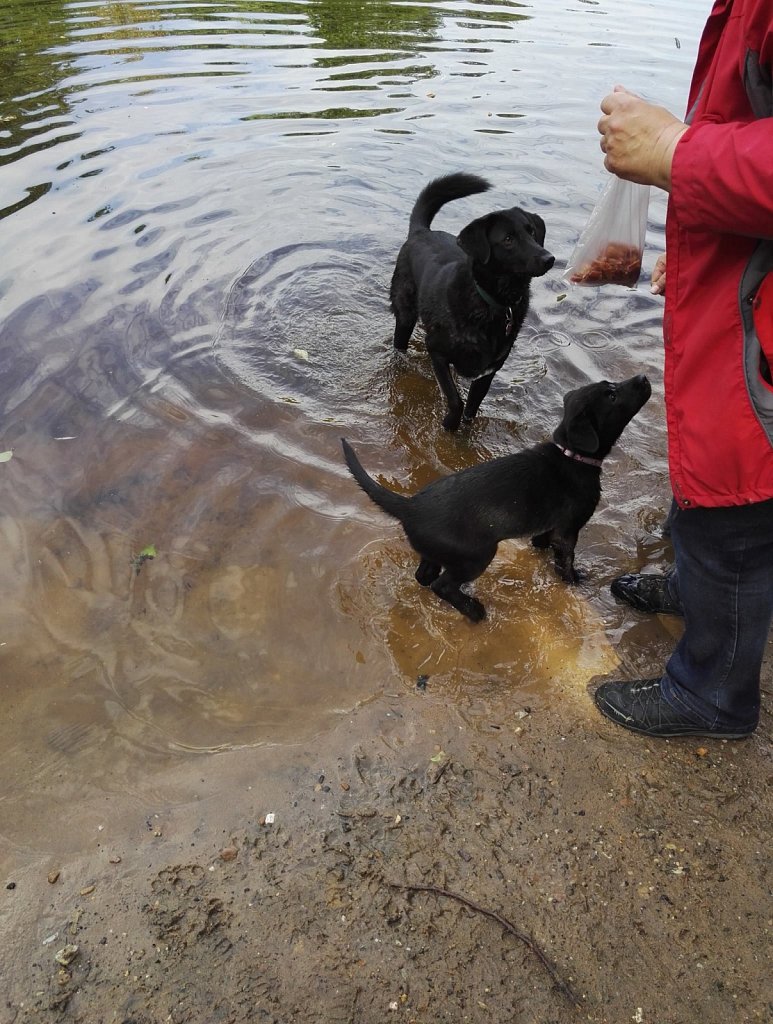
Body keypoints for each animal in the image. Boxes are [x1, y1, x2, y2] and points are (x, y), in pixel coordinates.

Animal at [341, 372, 651, 618]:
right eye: (612, 395)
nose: (644, 377)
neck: (572, 455)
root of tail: (410, 506)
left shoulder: (552, 525)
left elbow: (543, 541)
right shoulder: (569, 530)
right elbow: (565, 560)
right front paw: (574, 580)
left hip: (437, 551)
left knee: (425, 576)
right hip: (477, 555)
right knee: (443, 585)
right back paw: (474, 611)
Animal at [389, 174, 552, 430]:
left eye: (532, 232)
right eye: (508, 239)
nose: (549, 258)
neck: (492, 303)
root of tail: (420, 231)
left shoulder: (488, 372)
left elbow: (472, 408)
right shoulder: (436, 351)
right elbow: (456, 400)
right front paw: (449, 425)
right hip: (405, 315)